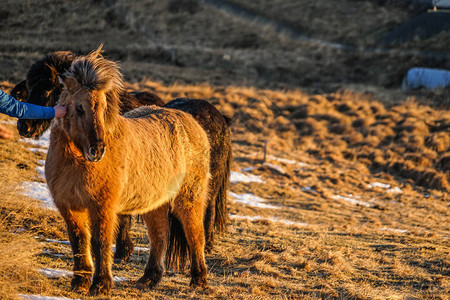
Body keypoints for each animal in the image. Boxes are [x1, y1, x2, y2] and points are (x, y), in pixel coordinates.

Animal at [13, 49, 232, 262]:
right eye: (30, 88)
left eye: (48, 89)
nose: (24, 126)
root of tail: (220, 117)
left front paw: (122, 250)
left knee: (208, 209)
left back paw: (207, 245)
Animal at [46, 49, 212, 296]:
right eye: (79, 108)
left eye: (104, 108)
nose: (97, 150)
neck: (76, 163)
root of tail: (192, 123)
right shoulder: (69, 206)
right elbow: (79, 240)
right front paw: (80, 283)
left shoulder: (102, 206)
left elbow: (100, 242)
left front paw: (101, 285)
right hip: (156, 203)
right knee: (160, 236)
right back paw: (149, 279)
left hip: (189, 199)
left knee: (195, 236)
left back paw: (199, 280)